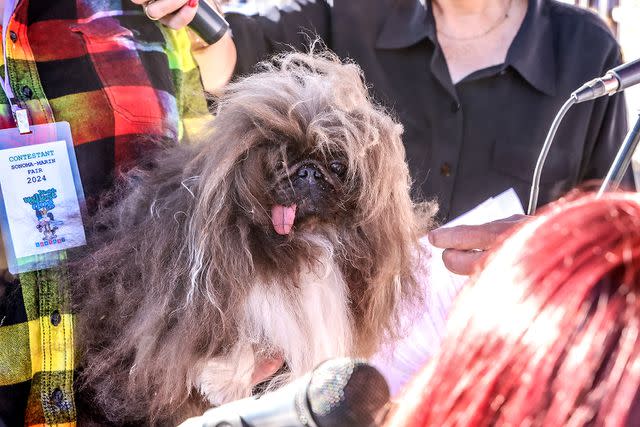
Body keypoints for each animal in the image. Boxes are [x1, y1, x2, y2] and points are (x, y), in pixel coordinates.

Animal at [72, 51, 438, 424]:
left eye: (337, 166)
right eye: (280, 163)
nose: (309, 171)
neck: (303, 238)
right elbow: (238, 339)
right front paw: (224, 383)